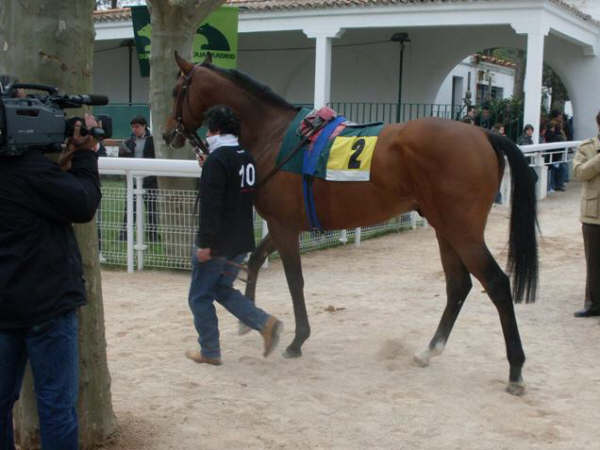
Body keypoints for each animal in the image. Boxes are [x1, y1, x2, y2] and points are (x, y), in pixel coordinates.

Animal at [165, 53, 540, 398]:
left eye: (175, 91)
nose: (169, 133)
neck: (274, 134)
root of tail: (483, 133)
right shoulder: (283, 223)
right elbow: (256, 259)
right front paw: (248, 323)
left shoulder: (284, 226)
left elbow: (294, 281)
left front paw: (297, 340)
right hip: (445, 228)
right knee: (457, 285)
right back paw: (428, 350)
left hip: (463, 231)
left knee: (496, 283)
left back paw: (516, 370)